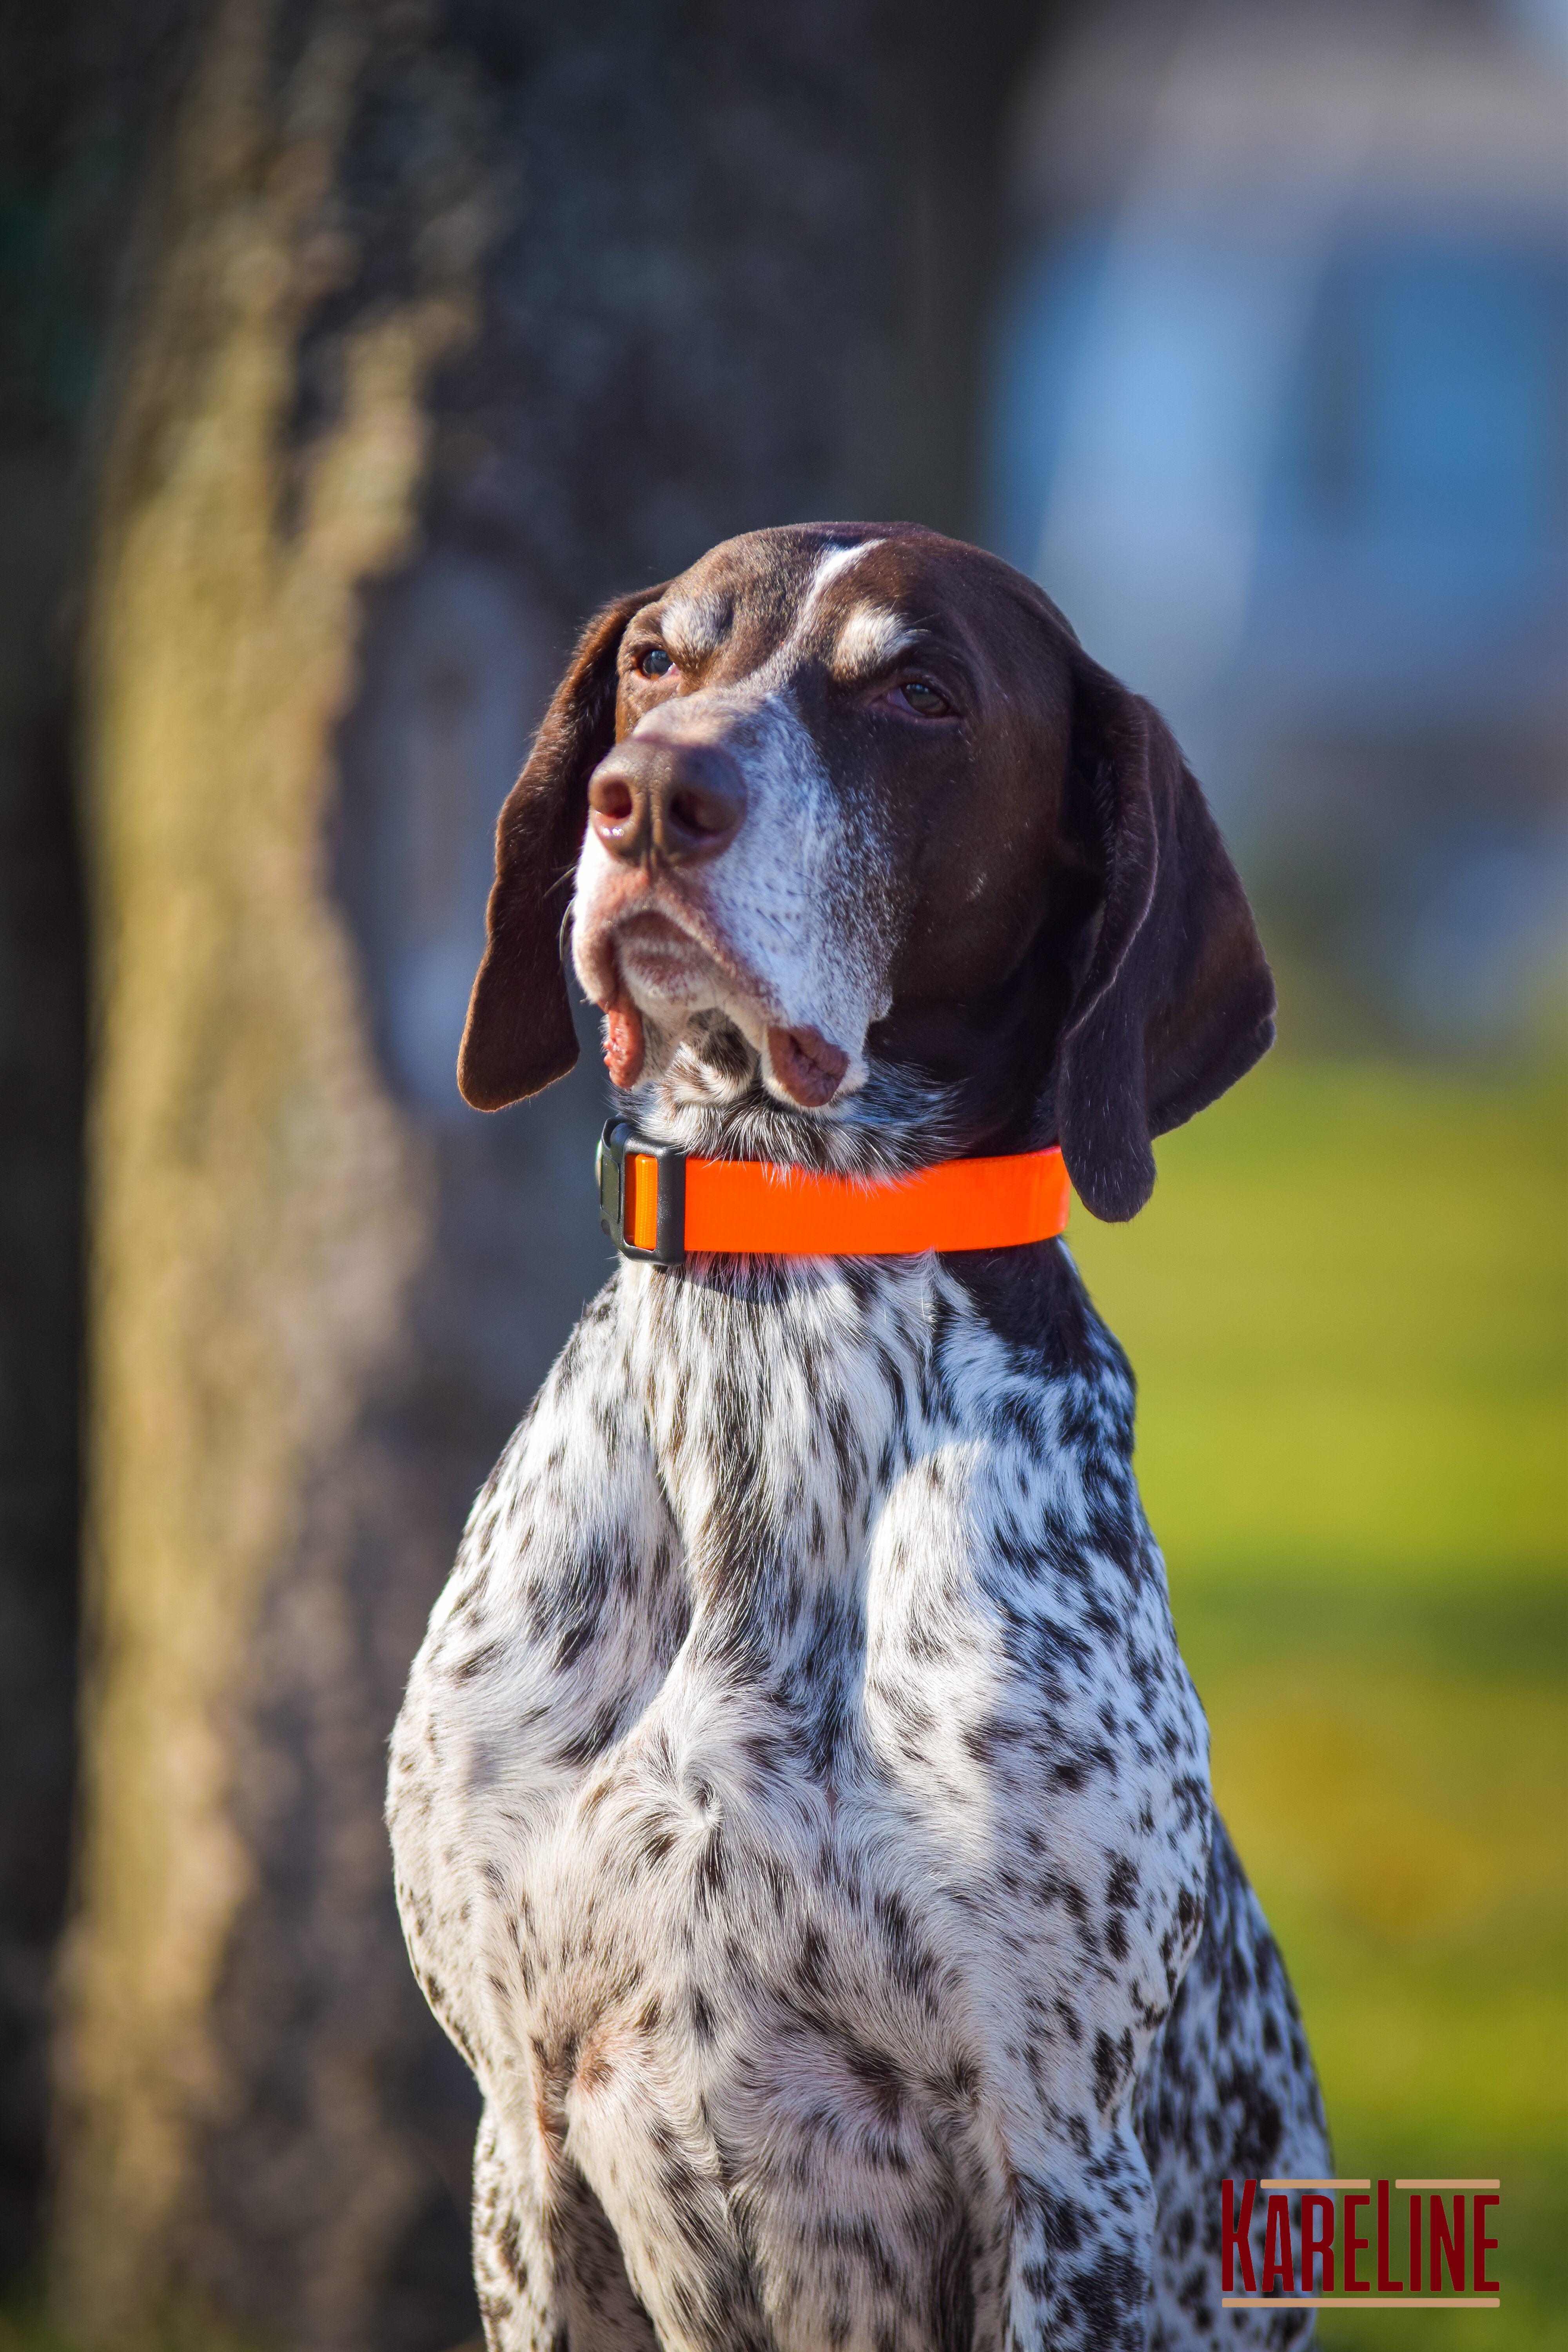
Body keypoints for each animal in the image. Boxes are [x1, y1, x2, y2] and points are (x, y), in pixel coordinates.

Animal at [385, 524, 1335, 2343]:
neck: (781, 1313)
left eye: (922, 694)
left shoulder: (1058, 2170)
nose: (644, 801)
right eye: (655, 662)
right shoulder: (517, 2142)